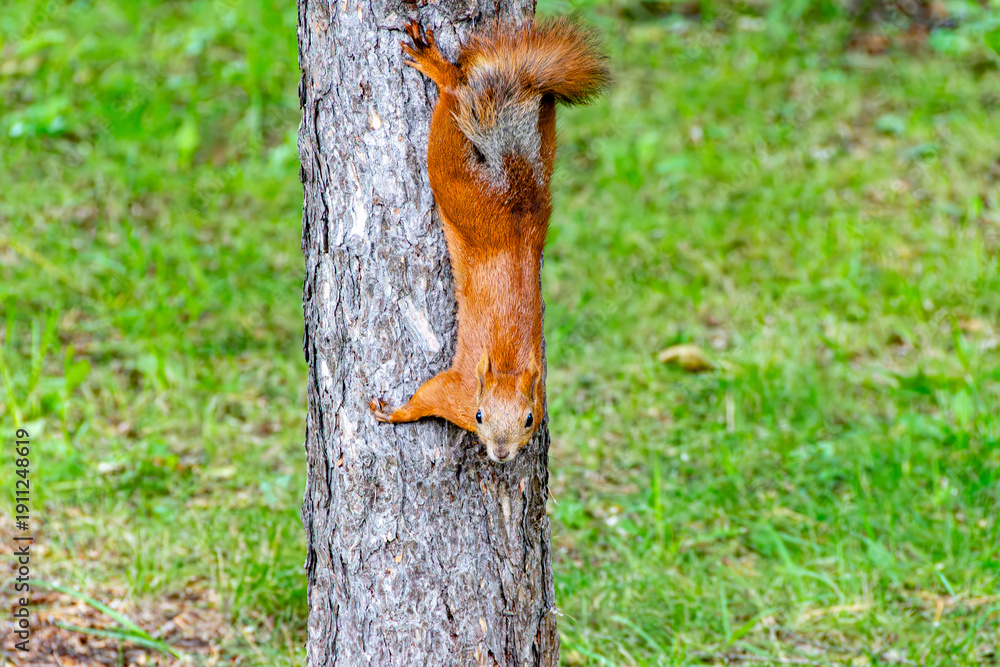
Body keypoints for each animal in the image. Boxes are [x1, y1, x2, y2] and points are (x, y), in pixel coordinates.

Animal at [369, 18, 609, 463]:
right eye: (479, 417)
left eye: (530, 419)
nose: (500, 453)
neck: (508, 371)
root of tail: (514, 188)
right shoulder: (456, 392)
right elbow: (425, 397)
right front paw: (393, 413)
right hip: (454, 181)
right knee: (451, 101)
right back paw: (440, 69)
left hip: (540, 153)